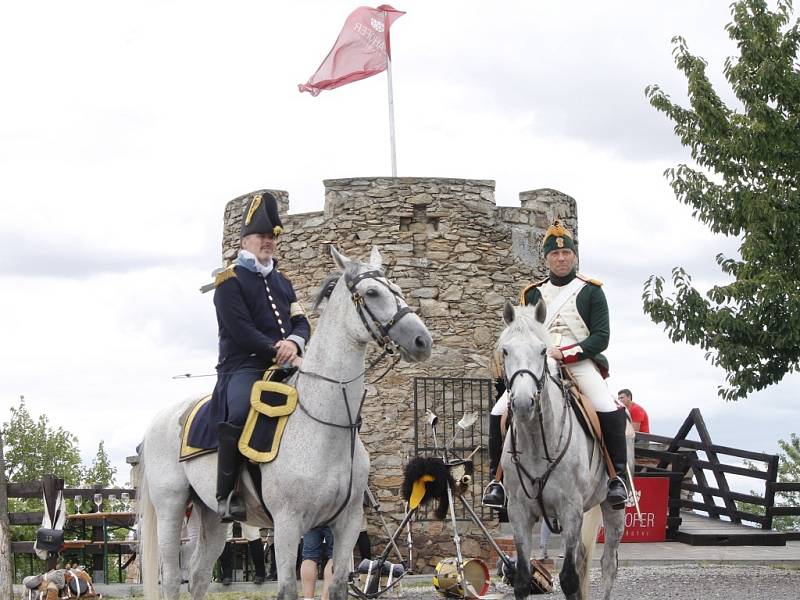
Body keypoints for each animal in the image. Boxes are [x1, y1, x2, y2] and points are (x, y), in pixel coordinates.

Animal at [136, 247, 432, 600]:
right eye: (372, 292)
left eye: (398, 289)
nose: (422, 341)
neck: (326, 425)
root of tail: (160, 419)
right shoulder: (288, 524)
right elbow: (289, 588)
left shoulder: (347, 522)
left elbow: (337, 586)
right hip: (171, 508)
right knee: (170, 579)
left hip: (211, 517)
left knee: (197, 576)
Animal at [500, 302, 624, 600]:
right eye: (505, 350)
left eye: (543, 350)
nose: (523, 403)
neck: (536, 441)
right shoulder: (519, 512)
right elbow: (523, 578)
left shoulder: (571, 510)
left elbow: (568, 578)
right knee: (584, 558)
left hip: (613, 509)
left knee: (608, 564)